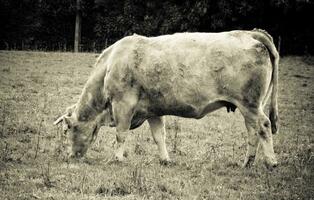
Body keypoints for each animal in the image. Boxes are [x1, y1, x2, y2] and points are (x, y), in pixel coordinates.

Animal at [54, 29, 280, 169]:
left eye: (67, 130)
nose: (70, 157)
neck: (110, 66)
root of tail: (249, 33)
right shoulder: (153, 110)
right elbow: (159, 136)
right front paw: (165, 159)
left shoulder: (123, 105)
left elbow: (121, 134)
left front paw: (117, 158)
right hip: (248, 107)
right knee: (253, 132)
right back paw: (247, 163)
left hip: (249, 104)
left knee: (263, 126)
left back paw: (271, 162)